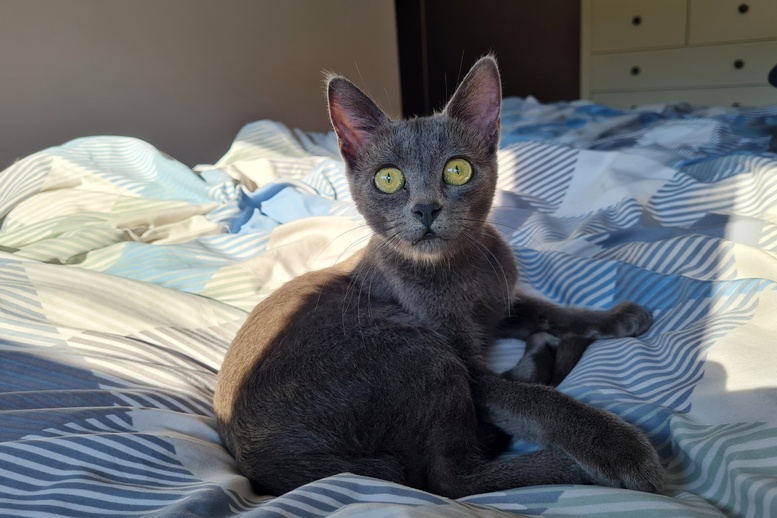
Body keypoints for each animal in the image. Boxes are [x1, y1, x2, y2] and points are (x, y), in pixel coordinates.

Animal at [213, 56, 664, 498]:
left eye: (457, 170)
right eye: (388, 178)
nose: (426, 208)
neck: (460, 270)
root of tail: (261, 463)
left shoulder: (498, 305)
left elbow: (551, 309)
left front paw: (617, 317)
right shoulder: (467, 367)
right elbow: (535, 402)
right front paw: (622, 448)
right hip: (415, 349)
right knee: (448, 478)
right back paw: (569, 461)